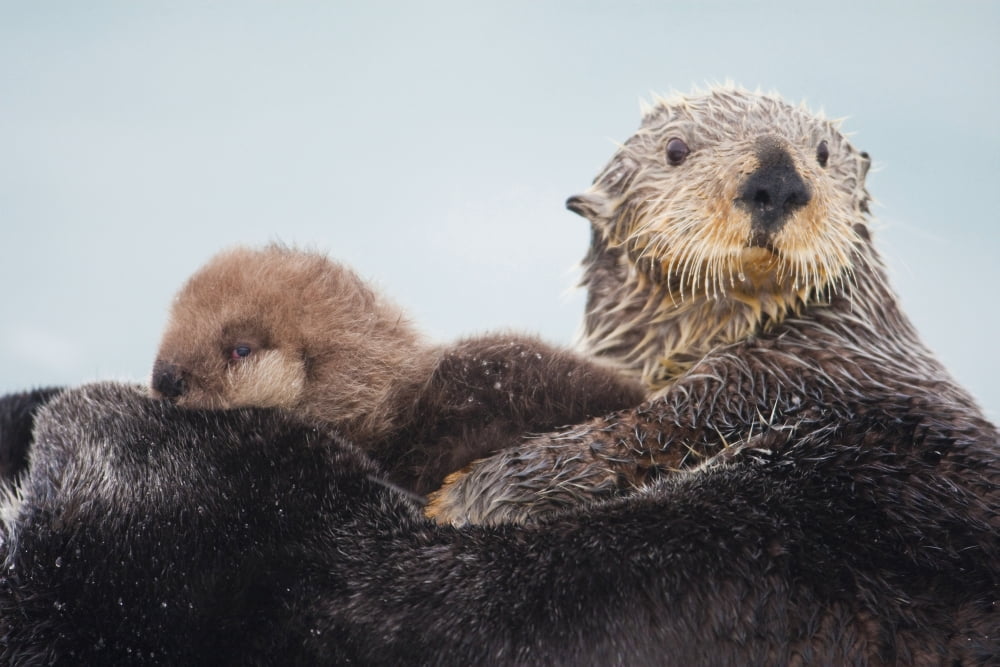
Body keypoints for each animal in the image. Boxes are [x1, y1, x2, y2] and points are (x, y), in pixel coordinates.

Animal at [426, 87, 1000, 526]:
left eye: (823, 153)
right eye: (676, 149)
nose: (777, 179)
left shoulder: (782, 374)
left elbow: (657, 424)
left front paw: (475, 493)